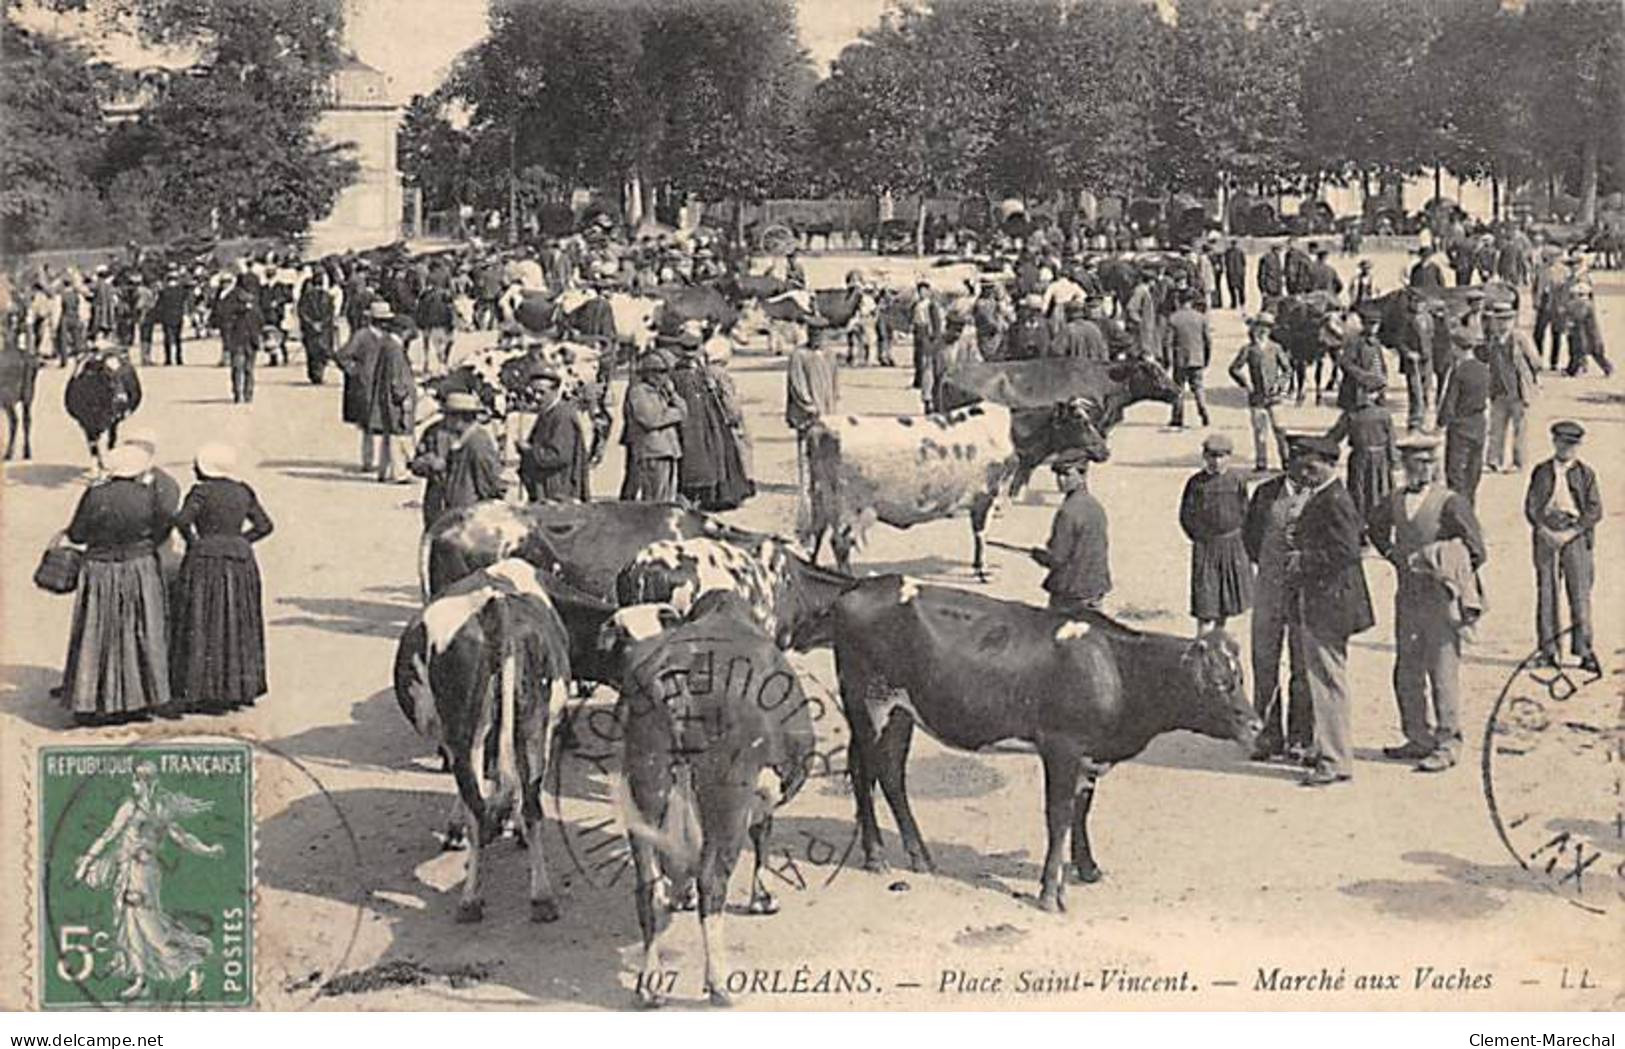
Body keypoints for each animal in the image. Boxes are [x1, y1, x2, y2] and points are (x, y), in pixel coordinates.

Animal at [390, 561, 575, 922]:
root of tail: (495, 606)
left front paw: (456, 829)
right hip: (532, 721)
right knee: (532, 806)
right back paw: (542, 898)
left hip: (466, 730)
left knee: (477, 807)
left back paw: (470, 899)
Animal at [604, 591, 819, 1013]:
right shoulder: (759, 792)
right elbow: (763, 833)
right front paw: (763, 898)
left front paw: (680, 894)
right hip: (726, 801)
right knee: (713, 881)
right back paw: (718, 983)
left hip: (643, 790)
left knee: (646, 889)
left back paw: (650, 985)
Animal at [802, 402, 1111, 584]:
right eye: (1080, 421)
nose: (1105, 450)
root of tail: (821, 426)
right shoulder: (988, 495)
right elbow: (982, 534)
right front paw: (983, 571)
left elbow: (976, 533)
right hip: (848, 508)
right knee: (840, 544)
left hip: (820, 499)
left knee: (816, 535)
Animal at [832, 578, 1261, 915]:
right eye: (1218, 683)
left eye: (1240, 677)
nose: (1256, 724)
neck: (1117, 667)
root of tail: (860, 586)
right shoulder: (1061, 747)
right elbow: (1059, 817)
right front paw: (1051, 893)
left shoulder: (1090, 755)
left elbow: (1081, 811)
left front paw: (1087, 869)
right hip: (866, 702)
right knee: (864, 772)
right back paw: (876, 855)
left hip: (902, 712)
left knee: (890, 773)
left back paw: (920, 856)